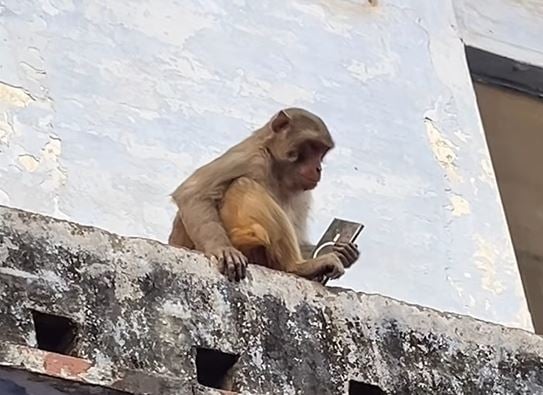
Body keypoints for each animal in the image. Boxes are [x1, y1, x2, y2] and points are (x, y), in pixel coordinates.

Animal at [168, 106, 360, 284]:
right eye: (312, 146)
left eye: (322, 151)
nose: (318, 168)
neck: (277, 169)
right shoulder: (249, 157)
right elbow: (193, 192)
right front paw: (222, 249)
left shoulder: (303, 192)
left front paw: (345, 252)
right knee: (243, 184)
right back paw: (297, 267)